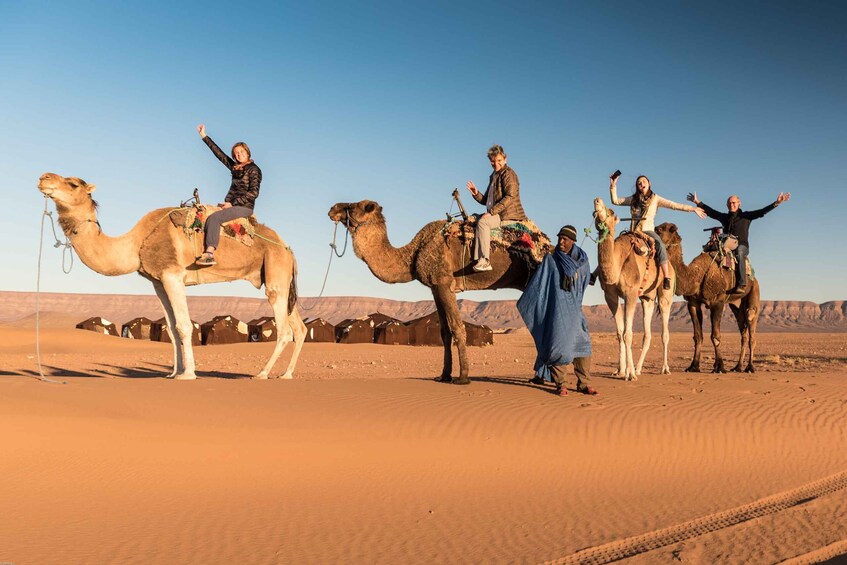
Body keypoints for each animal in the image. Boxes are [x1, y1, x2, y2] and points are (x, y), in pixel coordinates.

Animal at [39, 172, 306, 378]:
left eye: (73, 183)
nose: (44, 177)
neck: (137, 243)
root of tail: (288, 248)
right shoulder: (158, 282)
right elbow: (170, 328)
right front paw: (173, 372)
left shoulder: (173, 275)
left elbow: (183, 326)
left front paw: (188, 374)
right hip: (281, 280)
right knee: (299, 327)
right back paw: (286, 374)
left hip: (275, 270)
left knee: (285, 329)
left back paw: (262, 373)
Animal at [330, 199, 532, 384]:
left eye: (352, 206)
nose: (333, 208)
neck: (414, 253)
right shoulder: (435, 287)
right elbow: (444, 331)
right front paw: (444, 375)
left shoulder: (444, 282)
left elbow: (458, 327)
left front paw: (463, 377)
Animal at [592, 197, 672, 378]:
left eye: (611, 212)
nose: (597, 201)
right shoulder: (611, 296)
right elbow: (619, 333)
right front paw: (620, 370)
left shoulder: (631, 293)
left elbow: (628, 334)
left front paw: (629, 374)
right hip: (647, 298)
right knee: (647, 334)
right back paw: (639, 368)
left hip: (665, 293)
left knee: (664, 332)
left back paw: (664, 368)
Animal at [656, 221, 760, 374]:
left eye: (660, 230)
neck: (696, 275)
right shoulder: (693, 303)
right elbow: (698, 336)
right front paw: (693, 366)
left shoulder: (718, 302)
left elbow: (715, 336)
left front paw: (720, 367)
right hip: (736, 304)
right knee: (743, 330)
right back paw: (738, 367)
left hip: (753, 292)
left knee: (751, 324)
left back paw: (750, 367)